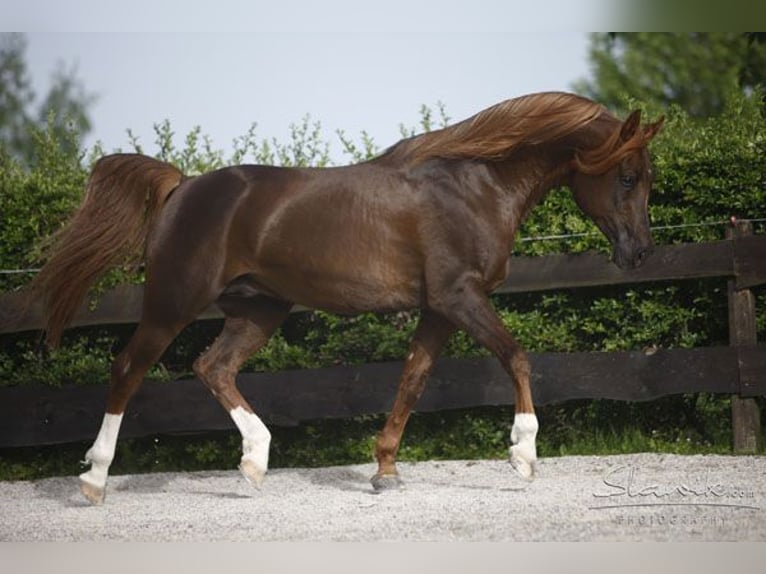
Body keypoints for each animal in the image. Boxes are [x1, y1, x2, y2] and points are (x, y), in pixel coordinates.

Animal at [29, 91, 663, 504]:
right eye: (627, 176)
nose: (639, 253)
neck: (475, 186)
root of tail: (181, 186)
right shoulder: (460, 296)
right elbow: (518, 357)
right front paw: (523, 455)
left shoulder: (438, 310)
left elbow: (413, 380)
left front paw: (385, 470)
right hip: (172, 303)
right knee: (128, 369)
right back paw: (94, 480)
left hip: (258, 310)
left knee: (214, 367)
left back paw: (255, 462)